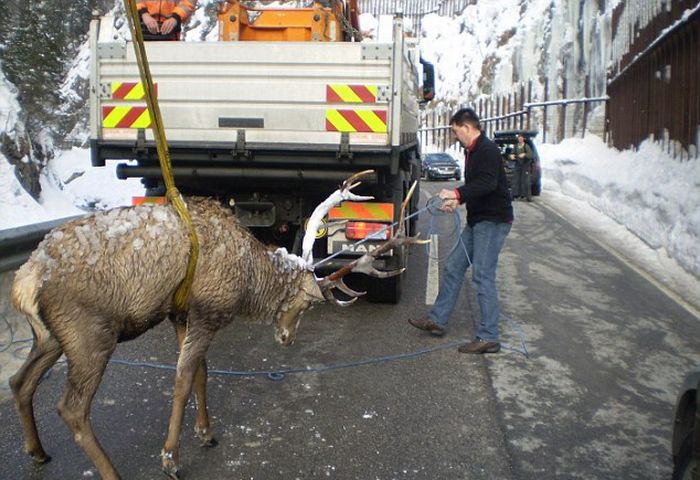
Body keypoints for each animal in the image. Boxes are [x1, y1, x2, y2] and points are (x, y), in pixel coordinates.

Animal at [10, 171, 424, 478]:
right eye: (307, 302)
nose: (288, 338)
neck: (248, 283)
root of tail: (27, 278)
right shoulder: (208, 311)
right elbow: (182, 379)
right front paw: (171, 457)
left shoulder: (183, 313)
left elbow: (201, 372)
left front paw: (206, 432)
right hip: (90, 334)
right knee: (71, 408)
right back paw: (110, 471)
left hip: (51, 336)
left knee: (20, 380)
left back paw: (36, 450)